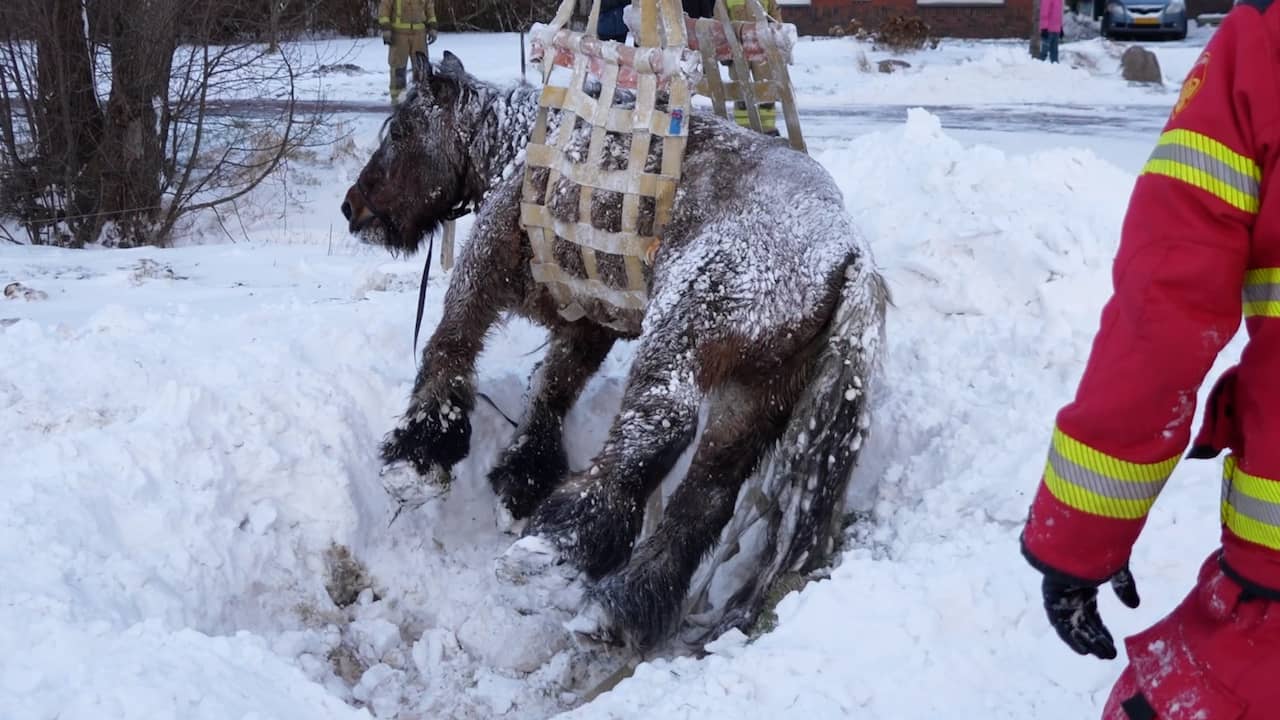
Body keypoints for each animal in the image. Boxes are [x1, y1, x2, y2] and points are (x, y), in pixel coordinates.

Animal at [341, 51, 887, 651]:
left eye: (401, 131)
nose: (351, 207)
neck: (518, 145)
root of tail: (849, 254)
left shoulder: (483, 267)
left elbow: (450, 345)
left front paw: (419, 455)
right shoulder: (589, 321)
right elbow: (555, 385)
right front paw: (523, 478)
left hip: (683, 334)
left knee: (656, 433)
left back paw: (558, 550)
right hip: (755, 392)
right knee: (707, 495)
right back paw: (624, 603)